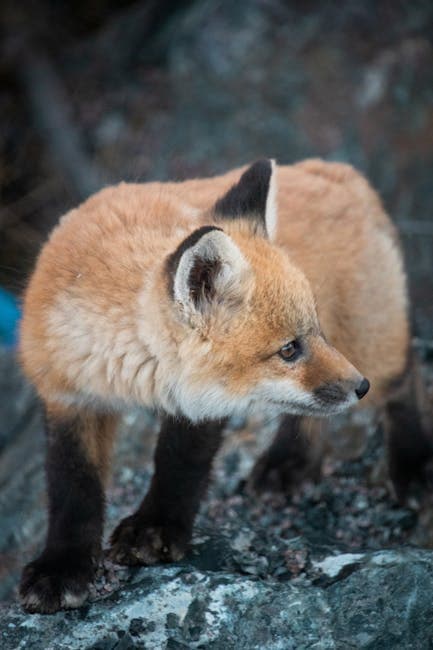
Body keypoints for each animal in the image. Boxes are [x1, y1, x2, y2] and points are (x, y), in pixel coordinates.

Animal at [18, 158, 431, 614]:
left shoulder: (199, 400)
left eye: (313, 333)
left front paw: (156, 530)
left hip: (370, 341)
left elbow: (181, 463)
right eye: (289, 349)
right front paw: (62, 568)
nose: (360, 387)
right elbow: (72, 485)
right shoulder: (67, 393)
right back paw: (292, 462)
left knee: (406, 378)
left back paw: (414, 466)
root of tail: (333, 169)